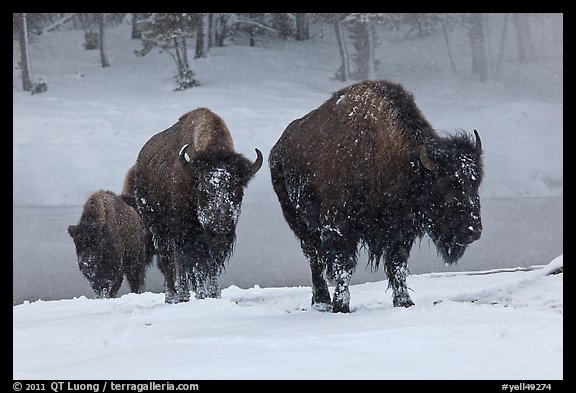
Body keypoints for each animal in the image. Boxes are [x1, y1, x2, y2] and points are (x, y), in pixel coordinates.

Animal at [129, 107, 264, 304]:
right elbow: (197, 265)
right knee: (169, 261)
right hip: (158, 229)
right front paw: (201, 295)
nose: (219, 231)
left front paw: (214, 294)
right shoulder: (189, 235)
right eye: (203, 191)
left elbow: (212, 267)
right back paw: (173, 297)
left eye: (237, 191)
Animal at [268, 79, 484, 312]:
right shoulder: (339, 228)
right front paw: (341, 306)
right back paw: (322, 301)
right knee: (314, 258)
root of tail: (278, 148)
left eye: (476, 182)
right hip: (300, 223)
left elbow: (397, 265)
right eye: (446, 185)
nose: (473, 231)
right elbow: (344, 267)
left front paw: (405, 302)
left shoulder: (400, 230)